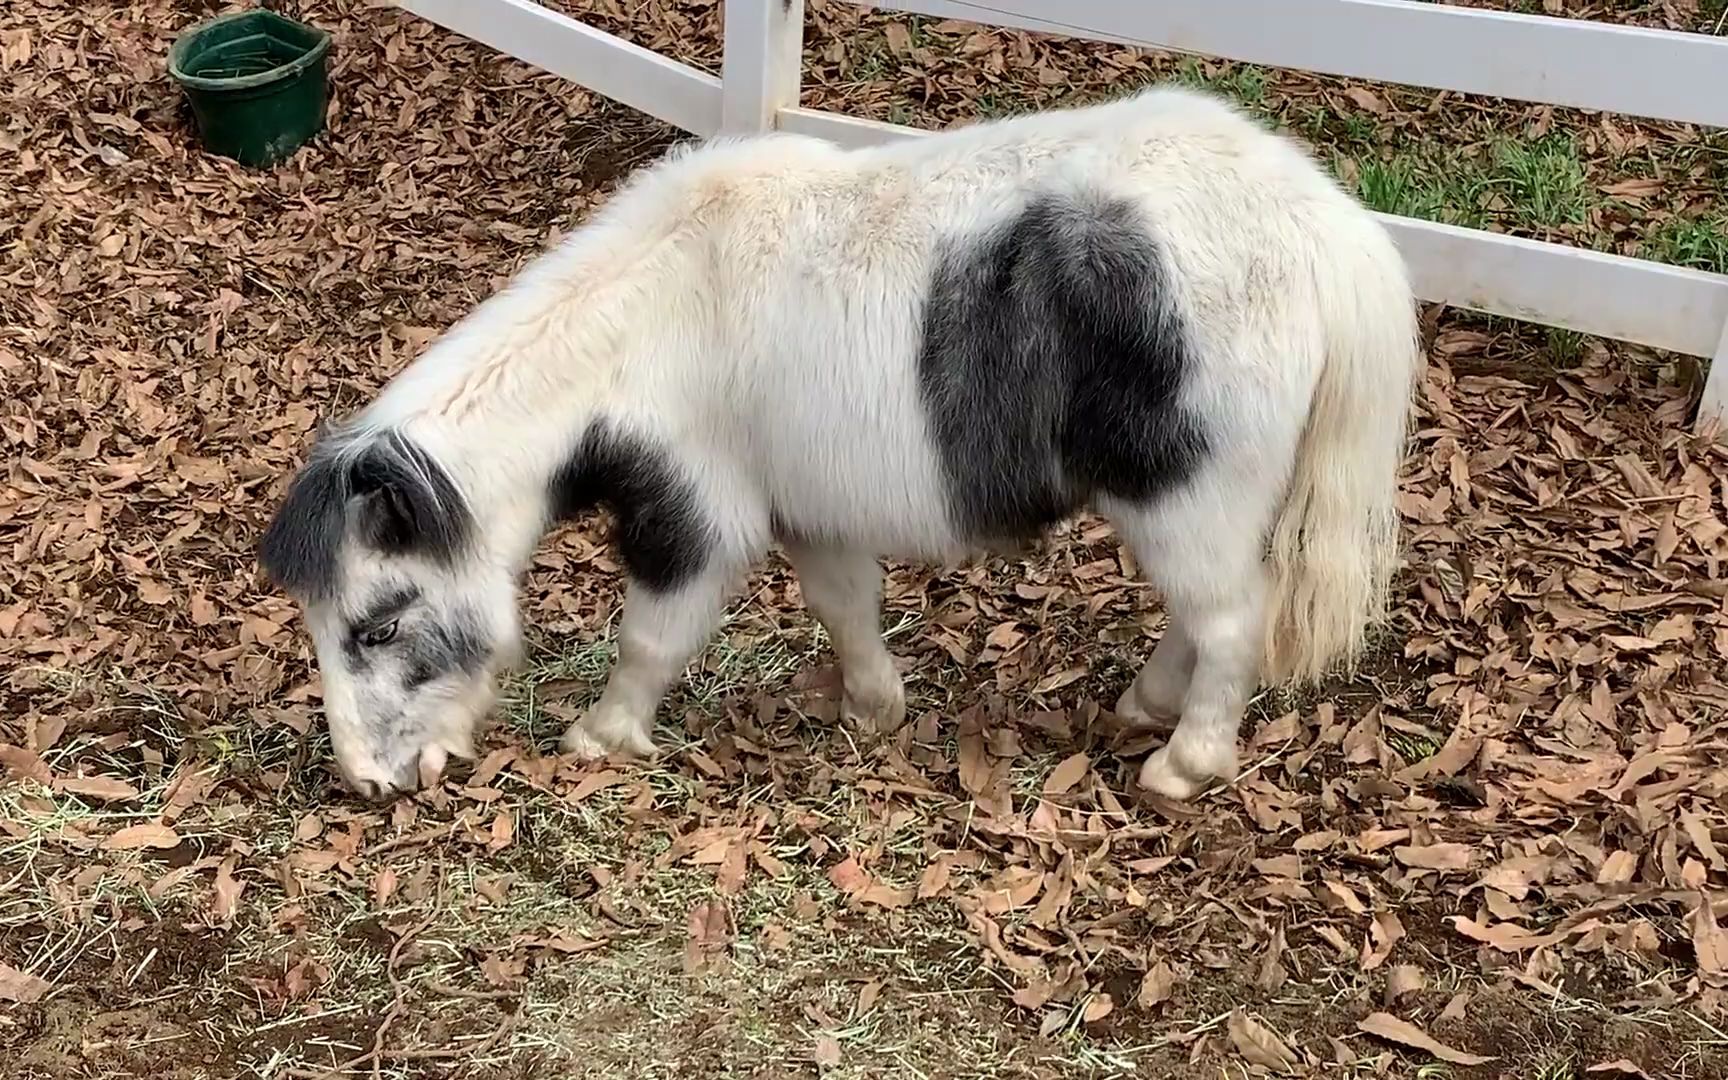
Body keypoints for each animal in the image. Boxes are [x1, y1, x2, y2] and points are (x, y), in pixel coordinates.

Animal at [258, 85, 1422, 803]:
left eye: (374, 623)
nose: (368, 782)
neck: (652, 319)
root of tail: (1329, 232)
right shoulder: (808, 509)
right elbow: (844, 605)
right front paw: (873, 712)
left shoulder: (697, 517)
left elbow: (654, 637)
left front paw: (601, 737)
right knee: (1203, 616)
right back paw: (1141, 709)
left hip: (1188, 494)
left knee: (1231, 620)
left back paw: (1183, 764)